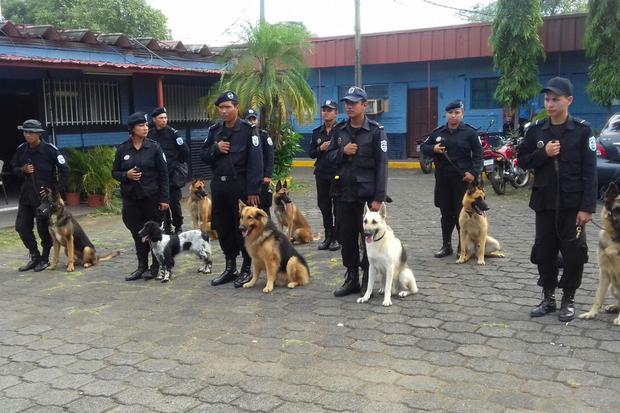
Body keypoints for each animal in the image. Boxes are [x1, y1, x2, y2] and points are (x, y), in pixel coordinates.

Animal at [576, 182, 620, 324]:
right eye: (617, 210)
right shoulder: (604, 272)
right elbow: (598, 296)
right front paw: (591, 313)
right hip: (613, 287)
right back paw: (613, 307)